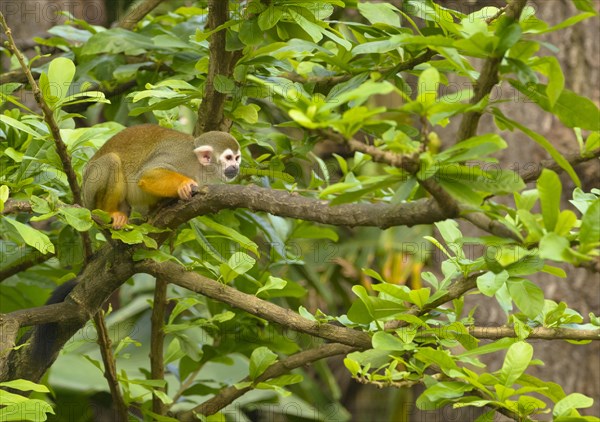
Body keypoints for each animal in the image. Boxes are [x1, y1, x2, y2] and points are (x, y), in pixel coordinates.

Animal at [82, 123, 241, 227]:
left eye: (237, 158)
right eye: (228, 158)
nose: (236, 167)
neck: (199, 165)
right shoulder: (181, 156)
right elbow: (147, 174)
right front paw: (184, 184)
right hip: (90, 193)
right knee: (112, 160)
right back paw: (109, 212)